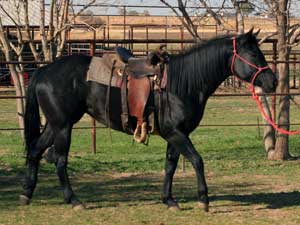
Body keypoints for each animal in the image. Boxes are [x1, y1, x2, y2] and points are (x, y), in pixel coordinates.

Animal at [19, 29, 276, 211]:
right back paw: (73, 200)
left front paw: (169, 200)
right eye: (254, 54)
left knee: (35, 151)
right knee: (60, 161)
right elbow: (197, 160)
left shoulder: (176, 135)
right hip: (63, 127)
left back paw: (26, 194)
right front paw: (203, 199)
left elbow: (170, 166)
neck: (181, 83)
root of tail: (43, 71)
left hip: (54, 125)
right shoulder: (176, 133)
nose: (272, 82)